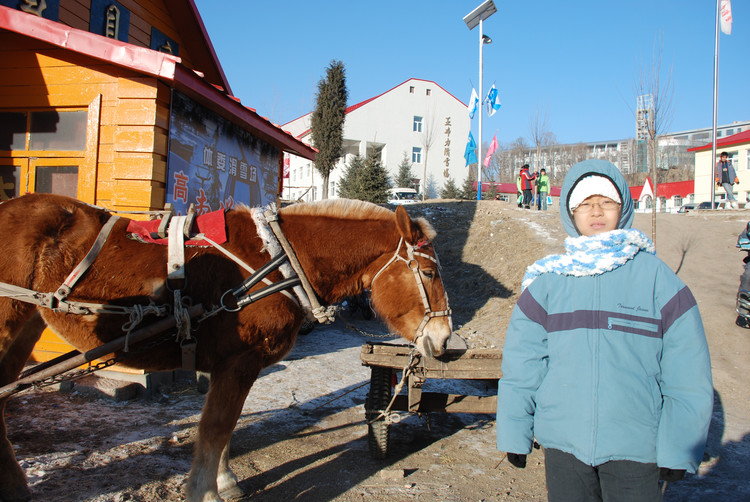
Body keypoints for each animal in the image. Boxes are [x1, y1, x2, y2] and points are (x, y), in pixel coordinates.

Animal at [0, 193, 452, 502]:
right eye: (429, 272)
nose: (445, 339)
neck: (279, 259)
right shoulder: (239, 362)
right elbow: (216, 426)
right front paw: (204, 491)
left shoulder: (230, 367)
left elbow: (226, 427)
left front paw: (225, 480)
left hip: (25, 327)